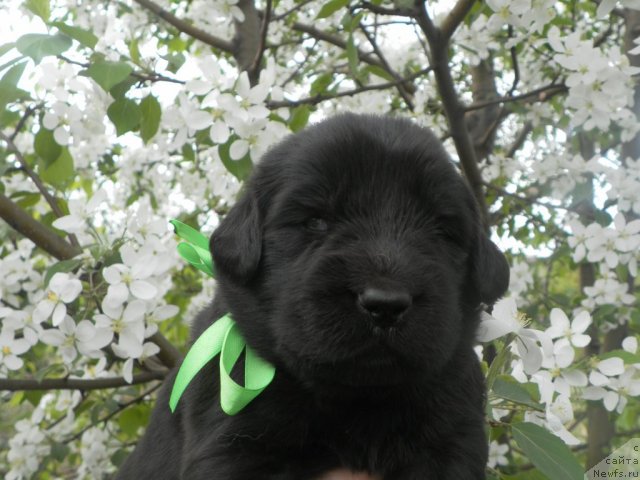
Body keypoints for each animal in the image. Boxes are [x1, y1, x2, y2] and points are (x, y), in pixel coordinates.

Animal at [117, 114, 510, 478]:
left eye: (441, 231)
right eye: (317, 221)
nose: (385, 304)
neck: (358, 402)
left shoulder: (453, 437)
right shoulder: (232, 446)